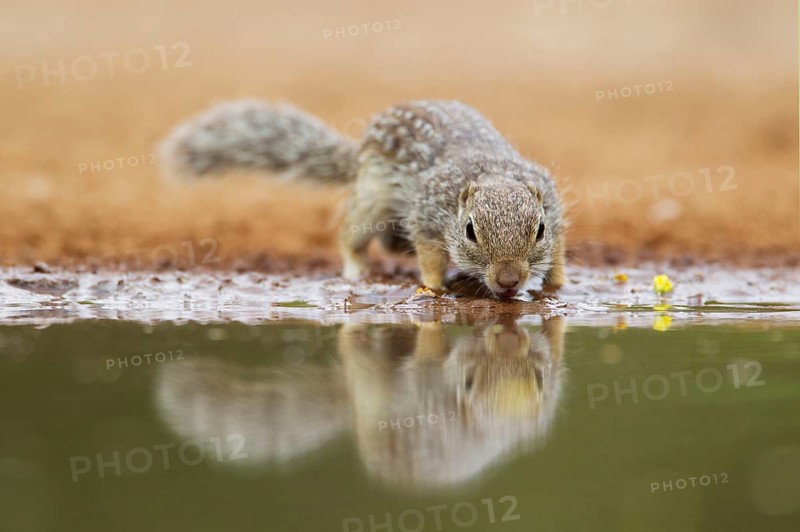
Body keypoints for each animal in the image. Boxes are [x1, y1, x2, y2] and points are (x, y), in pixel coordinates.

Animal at [159, 99, 566, 297]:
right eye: (470, 231)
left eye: (540, 230)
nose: (509, 280)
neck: (490, 172)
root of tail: (358, 151)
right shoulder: (426, 217)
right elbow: (429, 254)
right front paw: (435, 286)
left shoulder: (554, 205)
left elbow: (559, 252)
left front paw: (558, 284)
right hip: (370, 204)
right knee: (348, 235)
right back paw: (356, 268)